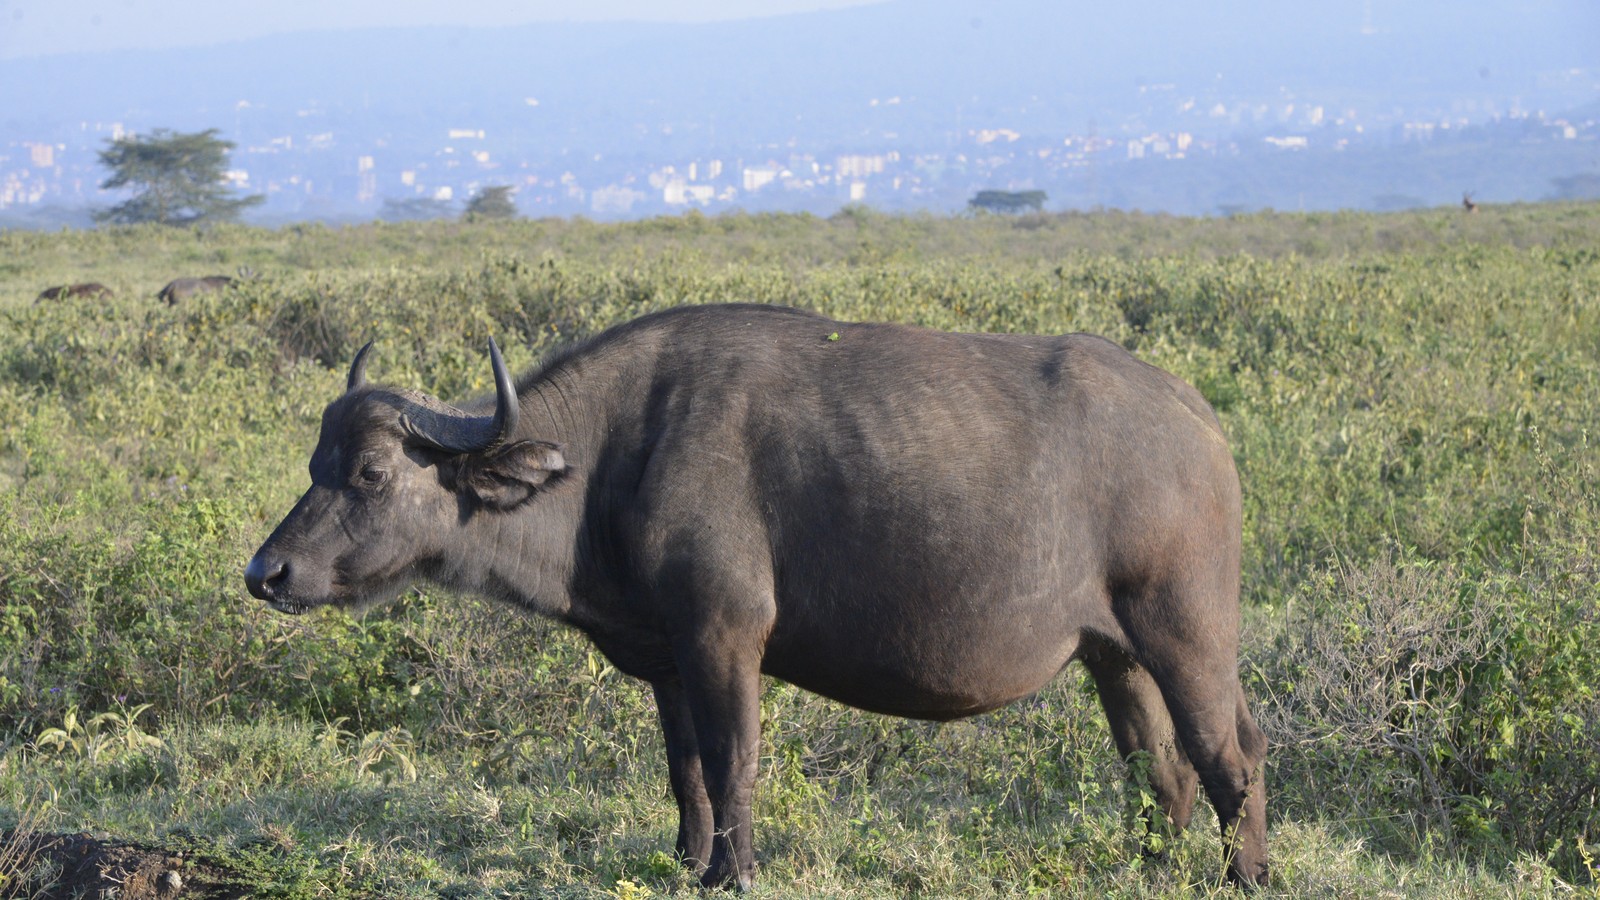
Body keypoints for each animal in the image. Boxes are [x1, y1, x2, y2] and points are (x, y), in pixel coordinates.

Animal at [245, 304, 1268, 889]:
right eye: (316, 462)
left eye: (373, 472)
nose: (268, 573)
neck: (613, 459)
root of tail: (1197, 420)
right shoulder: (668, 663)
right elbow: (686, 770)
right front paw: (688, 863)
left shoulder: (725, 638)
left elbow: (734, 760)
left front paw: (731, 875)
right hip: (1114, 655)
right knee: (1158, 768)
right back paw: (1151, 867)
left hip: (1185, 632)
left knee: (1230, 754)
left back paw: (1247, 876)